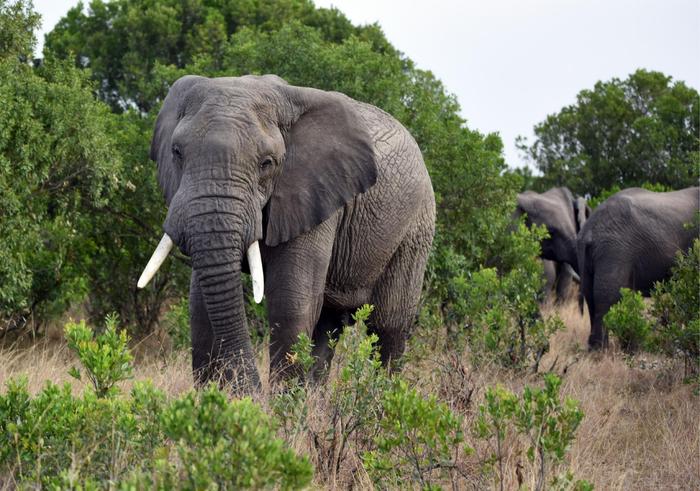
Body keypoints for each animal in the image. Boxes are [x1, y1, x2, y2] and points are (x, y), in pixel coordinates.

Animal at [135, 75, 438, 392]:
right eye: (177, 152)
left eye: (266, 163)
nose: (251, 391)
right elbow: (200, 305)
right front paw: (215, 397)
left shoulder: (314, 193)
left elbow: (290, 301)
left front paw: (279, 403)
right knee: (328, 326)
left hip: (415, 228)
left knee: (388, 325)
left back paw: (383, 395)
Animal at [580, 185, 700, 350]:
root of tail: (590, 230)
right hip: (615, 250)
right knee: (606, 297)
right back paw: (602, 350)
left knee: (589, 294)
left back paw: (595, 348)